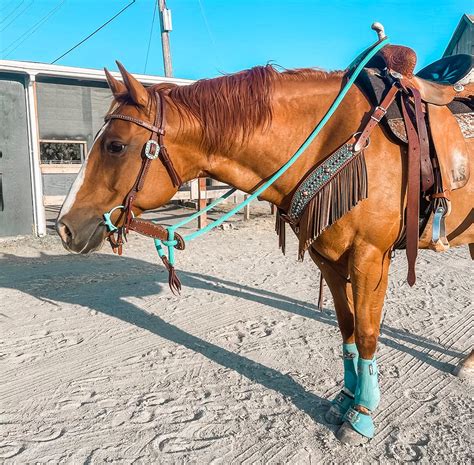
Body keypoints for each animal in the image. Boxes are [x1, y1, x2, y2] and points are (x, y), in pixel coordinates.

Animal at [54, 59, 470, 444]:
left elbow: (367, 333)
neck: (338, 138)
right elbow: (347, 327)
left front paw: (362, 415)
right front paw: (345, 399)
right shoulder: (330, 258)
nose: (64, 226)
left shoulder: (370, 256)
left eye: (116, 145)